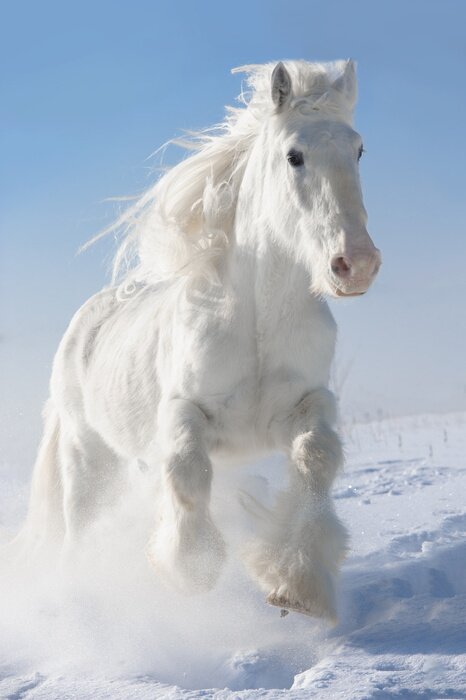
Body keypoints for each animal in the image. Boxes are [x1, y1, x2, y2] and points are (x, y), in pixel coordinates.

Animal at [13, 59, 381, 621]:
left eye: (358, 149)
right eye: (294, 155)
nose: (356, 264)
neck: (255, 324)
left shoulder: (306, 404)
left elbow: (316, 456)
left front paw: (296, 584)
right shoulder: (185, 410)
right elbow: (187, 467)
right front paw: (189, 569)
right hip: (87, 456)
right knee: (81, 530)